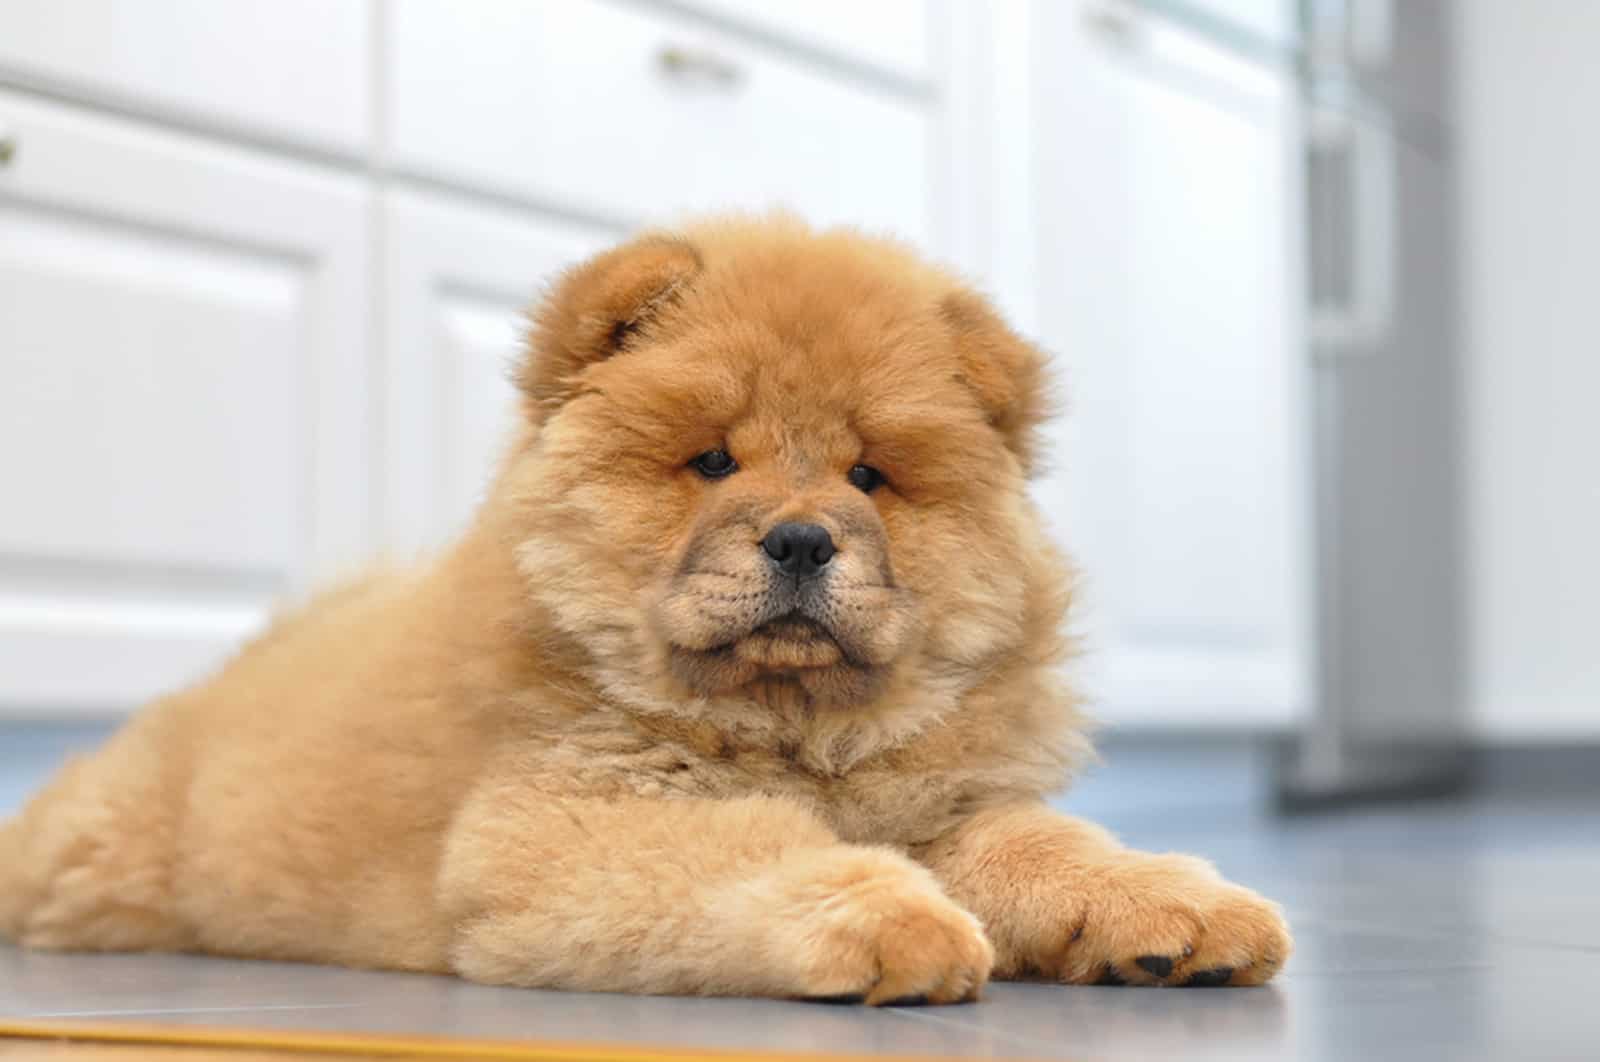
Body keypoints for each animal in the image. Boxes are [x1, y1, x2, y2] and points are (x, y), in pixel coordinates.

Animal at [3, 217, 1286, 1004]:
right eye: (713, 462)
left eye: (870, 476)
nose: (802, 537)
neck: (794, 734)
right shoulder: (559, 827)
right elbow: (746, 851)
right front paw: (894, 923)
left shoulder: (946, 804)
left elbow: (1047, 845)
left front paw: (1178, 914)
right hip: (105, 855)